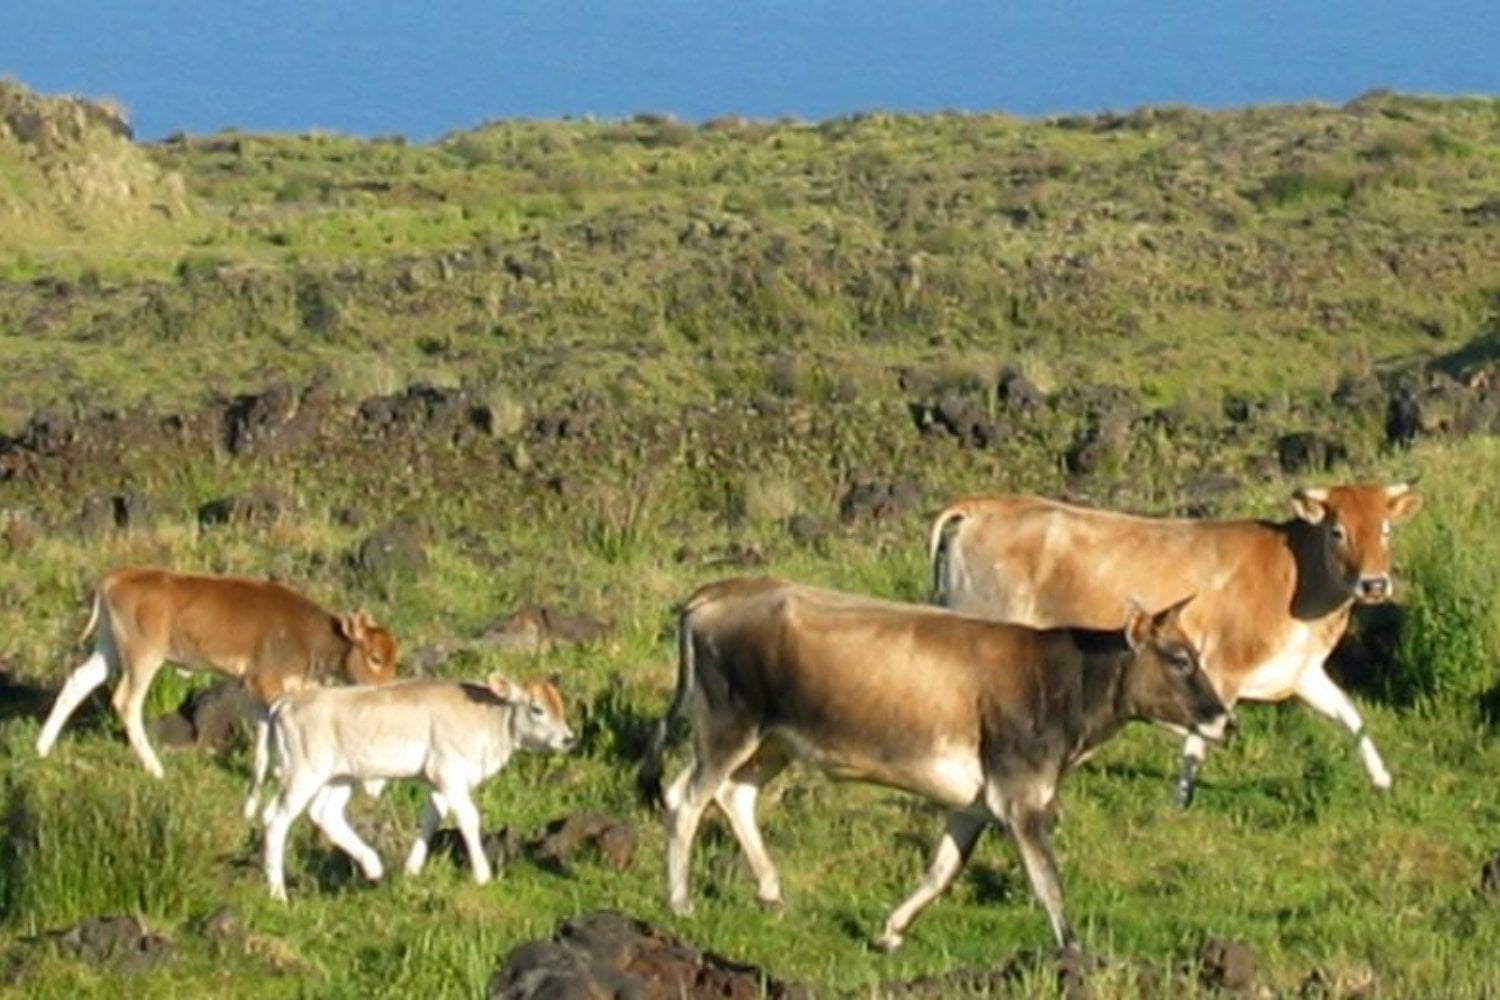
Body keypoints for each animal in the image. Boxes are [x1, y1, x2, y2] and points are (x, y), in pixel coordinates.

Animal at [34, 567, 399, 780]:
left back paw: (41, 747)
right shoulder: (267, 683)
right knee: (126, 702)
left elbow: (265, 728)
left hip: (108, 649)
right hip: (144, 657)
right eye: (375, 657)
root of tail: (116, 578)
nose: (389, 688)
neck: (310, 635)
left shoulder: (256, 689)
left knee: (78, 681)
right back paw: (155, 768)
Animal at [255, 674, 575, 901]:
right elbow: (469, 820)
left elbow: (430, 821)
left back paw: (373, 866)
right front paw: (483, 875)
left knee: (326, 815)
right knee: (276, 819)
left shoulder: (438, 783)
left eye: (561, 706)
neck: (487, 718)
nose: (568, 738)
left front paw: (411, 870)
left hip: (340, 777)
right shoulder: (450, 774)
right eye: (537, 709)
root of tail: (287, 701)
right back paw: (277, 893)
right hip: (303, 774)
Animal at [638, 577, 1231, 952]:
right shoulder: (1021, 796)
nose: (1224, 719)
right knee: (686, 799)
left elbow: (942, 871)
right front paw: (1074, 952)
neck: (1062, 679)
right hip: (728, 725)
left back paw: (770, 893)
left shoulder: (973, 803)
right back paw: (681, 901)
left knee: (734, 796)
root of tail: (716, 593)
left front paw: (890, 931)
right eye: (1180, 658)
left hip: (771, 741)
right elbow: (1048, 880)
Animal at [928, 482, 1423, 806]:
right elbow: (1200, 739)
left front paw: (1382, 779)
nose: (1375, 584)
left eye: (1386, 530)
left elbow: (1350, 717)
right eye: (1338, 531)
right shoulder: (1222, 668)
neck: (1294, 576)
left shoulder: (1298, 671)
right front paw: (1180, 800)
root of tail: (985, 505)